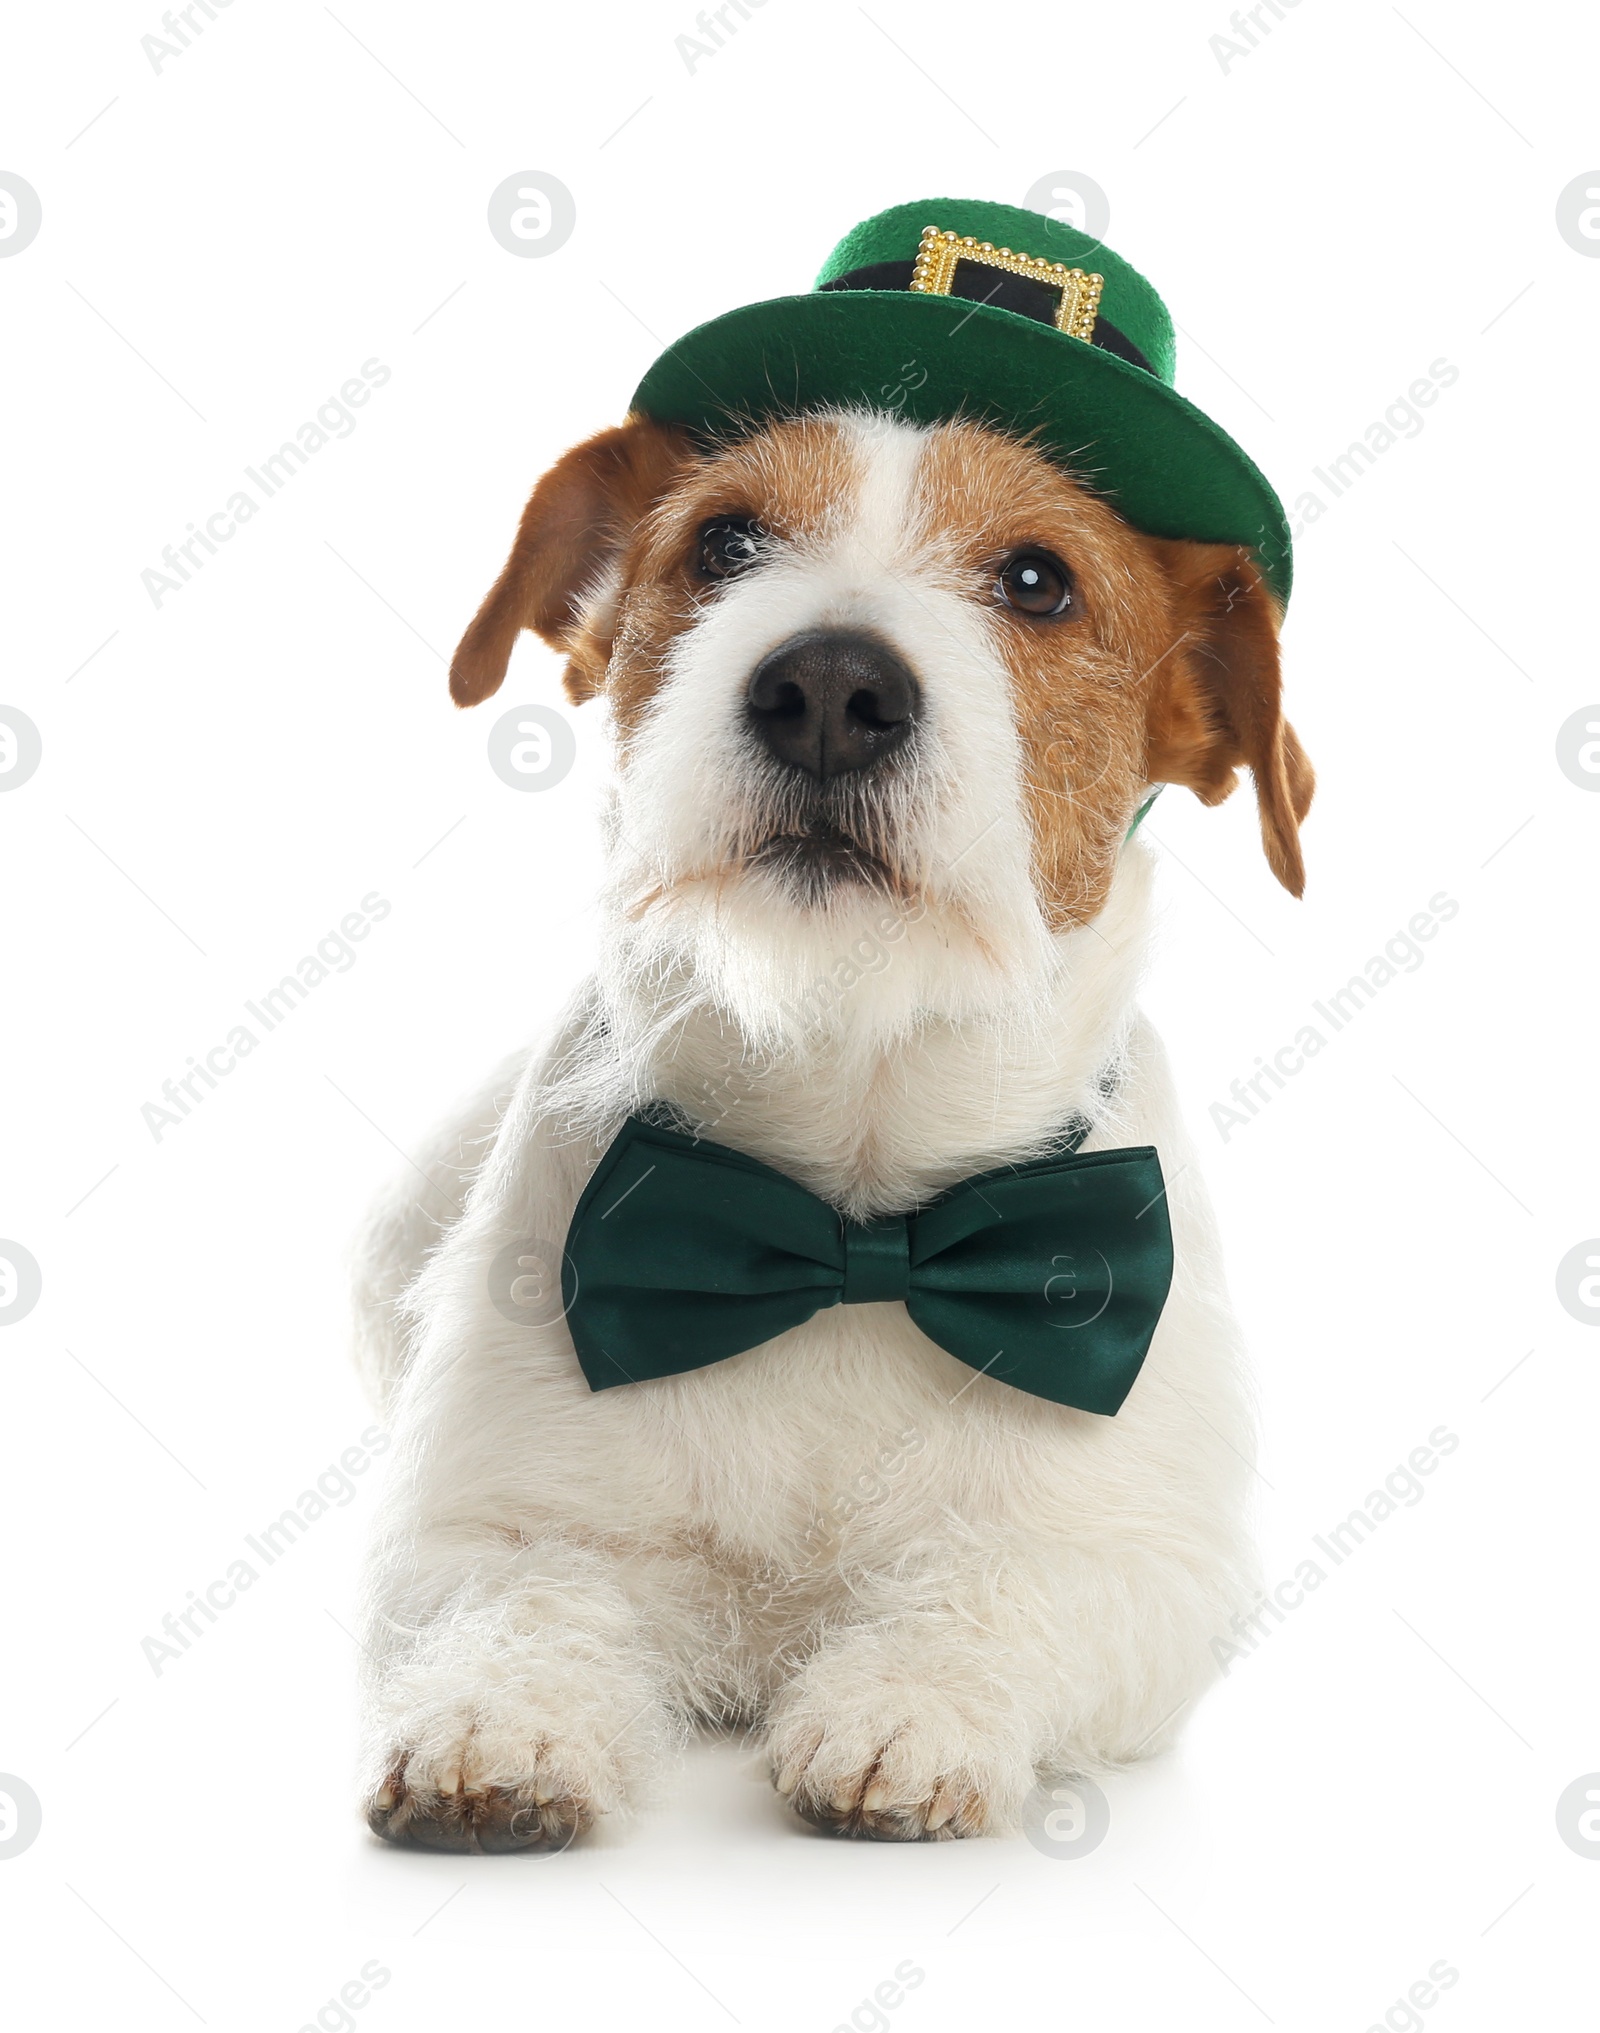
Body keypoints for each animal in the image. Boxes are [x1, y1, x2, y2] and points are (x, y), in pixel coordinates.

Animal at [349, 210, 1317, 1862]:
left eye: (1039, 579)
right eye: (726, 544)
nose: (827, 683)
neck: (853, 1212)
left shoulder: (1145, 1565)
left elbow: (998, 1585)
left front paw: (904, 1703)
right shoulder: (480, 1522)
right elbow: (534, 1594)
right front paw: (501, 1721)